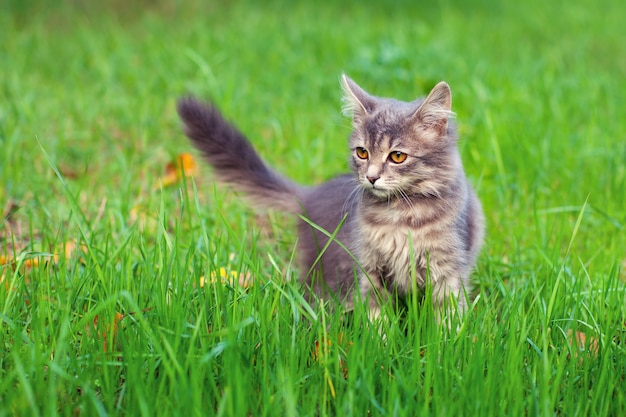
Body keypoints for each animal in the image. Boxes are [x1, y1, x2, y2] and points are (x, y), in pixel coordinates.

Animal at [178, 75, 486, 322]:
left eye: (397, 156)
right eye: (362, 152)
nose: (371, 177)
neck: (399, 215)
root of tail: (310, 194)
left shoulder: (448, 270)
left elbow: (448, 318)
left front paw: (447, 346)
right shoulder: (369, 268)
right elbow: (377, 316)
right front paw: (380, 347)